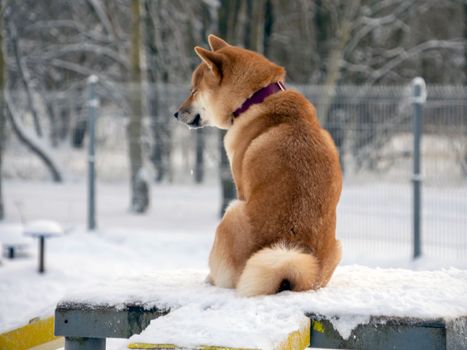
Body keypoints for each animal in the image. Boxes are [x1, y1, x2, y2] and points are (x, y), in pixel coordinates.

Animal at [174, 34, 342, 296]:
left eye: (194, 91)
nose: (176, 113)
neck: (256, 98)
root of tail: (291, 279)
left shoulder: (240, 188)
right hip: (337, 247)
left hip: (231, 212)